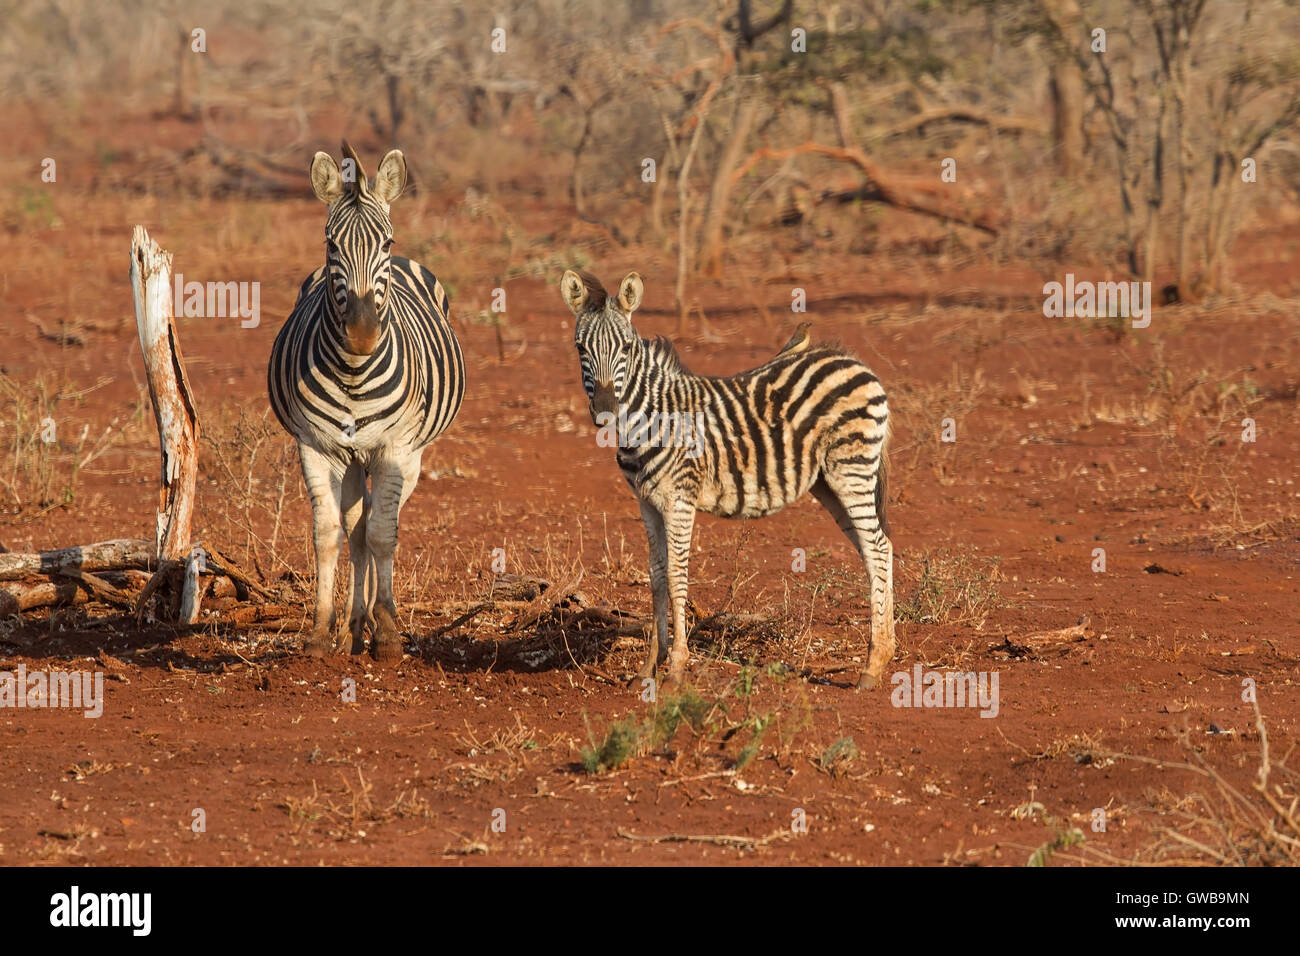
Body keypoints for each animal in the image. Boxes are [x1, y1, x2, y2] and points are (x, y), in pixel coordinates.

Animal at [266, 141, 465, 660]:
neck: (354, 372)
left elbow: (382, 532)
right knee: (356, 523)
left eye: (386, 245)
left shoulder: (395, 449)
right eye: (331, 245)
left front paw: (389, 632)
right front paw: (322, 631)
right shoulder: (315, 448)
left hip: (410, 455)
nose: (361, 333)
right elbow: (329, 534)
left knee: (380, 521)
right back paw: (357, 624)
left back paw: (374, 619)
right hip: (352, 457)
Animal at [559, 269, 894, 686]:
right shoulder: (646, 502)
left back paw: (873, 664)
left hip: (851, 468)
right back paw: (883, 654)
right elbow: (656, 576)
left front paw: (677, 667)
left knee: (878, 547)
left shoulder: (679, 499)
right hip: (828, 483)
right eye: (580, 349)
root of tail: (848, 358)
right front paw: (649, 667)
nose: (605, 411)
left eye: (625, 349)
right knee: (875, 548)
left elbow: (677, 574)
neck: (651, 417)